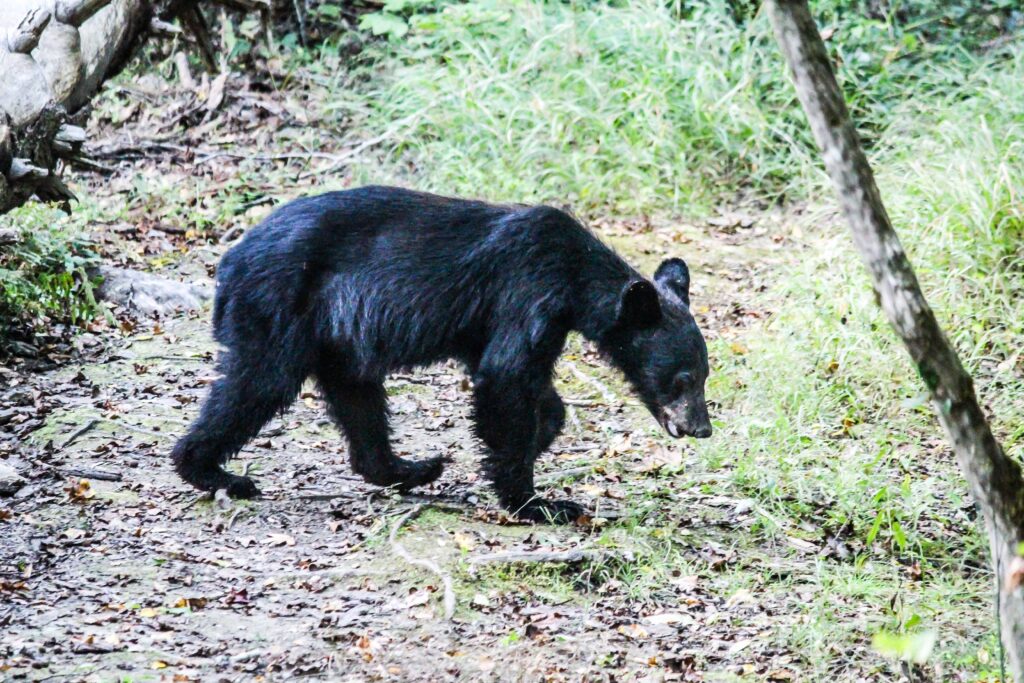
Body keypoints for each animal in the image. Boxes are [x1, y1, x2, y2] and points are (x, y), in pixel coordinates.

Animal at [169, 187, 712, 524]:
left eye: (705, 376)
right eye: (683, 378)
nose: (702, 428)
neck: (574, 273)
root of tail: (229, 261)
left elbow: (529, 387)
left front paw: (536, 440)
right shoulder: (527, 291)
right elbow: (505, 377)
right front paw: (534, 502)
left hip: (336, 335)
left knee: (357, 400)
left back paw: (412, 468)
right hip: (279, 307)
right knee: (258, 383)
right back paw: (214, 472)